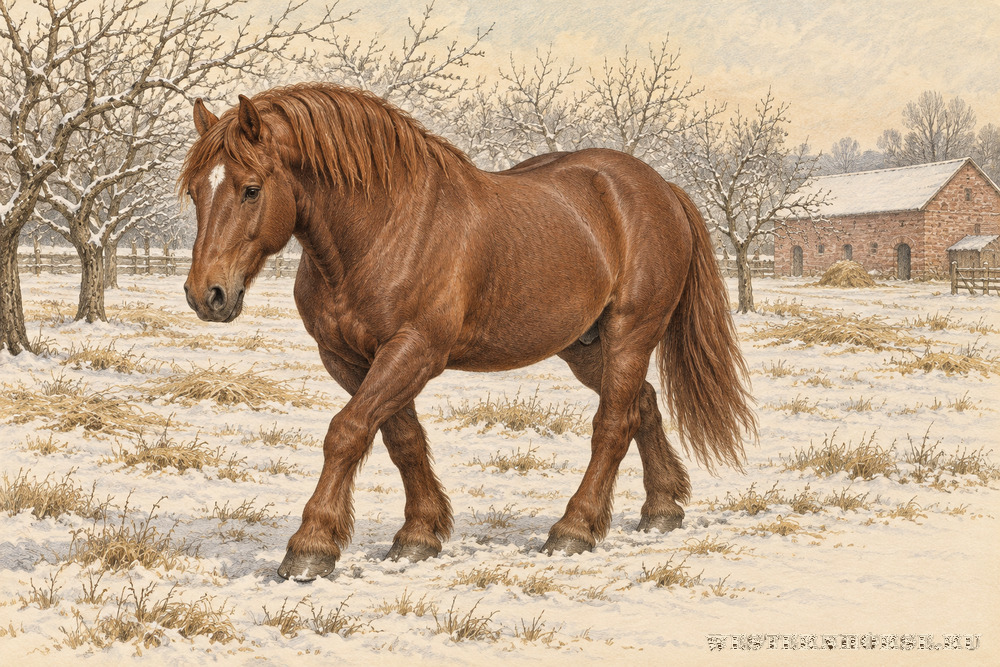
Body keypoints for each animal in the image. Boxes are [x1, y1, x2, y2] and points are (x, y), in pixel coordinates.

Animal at [180, 82, 756, 581]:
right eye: (195, 192)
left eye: (251, 190)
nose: (207, 295)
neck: (385, 228)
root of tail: (661, 188)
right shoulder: (349, 359)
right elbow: (401, 439)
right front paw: (418, 535)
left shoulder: (413, 351)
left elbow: (346, 432)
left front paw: (311, 547)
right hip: (582, 347)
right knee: (643, 405)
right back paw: (661, 509)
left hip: (631, 332)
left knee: (613, 424)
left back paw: (573, 529)